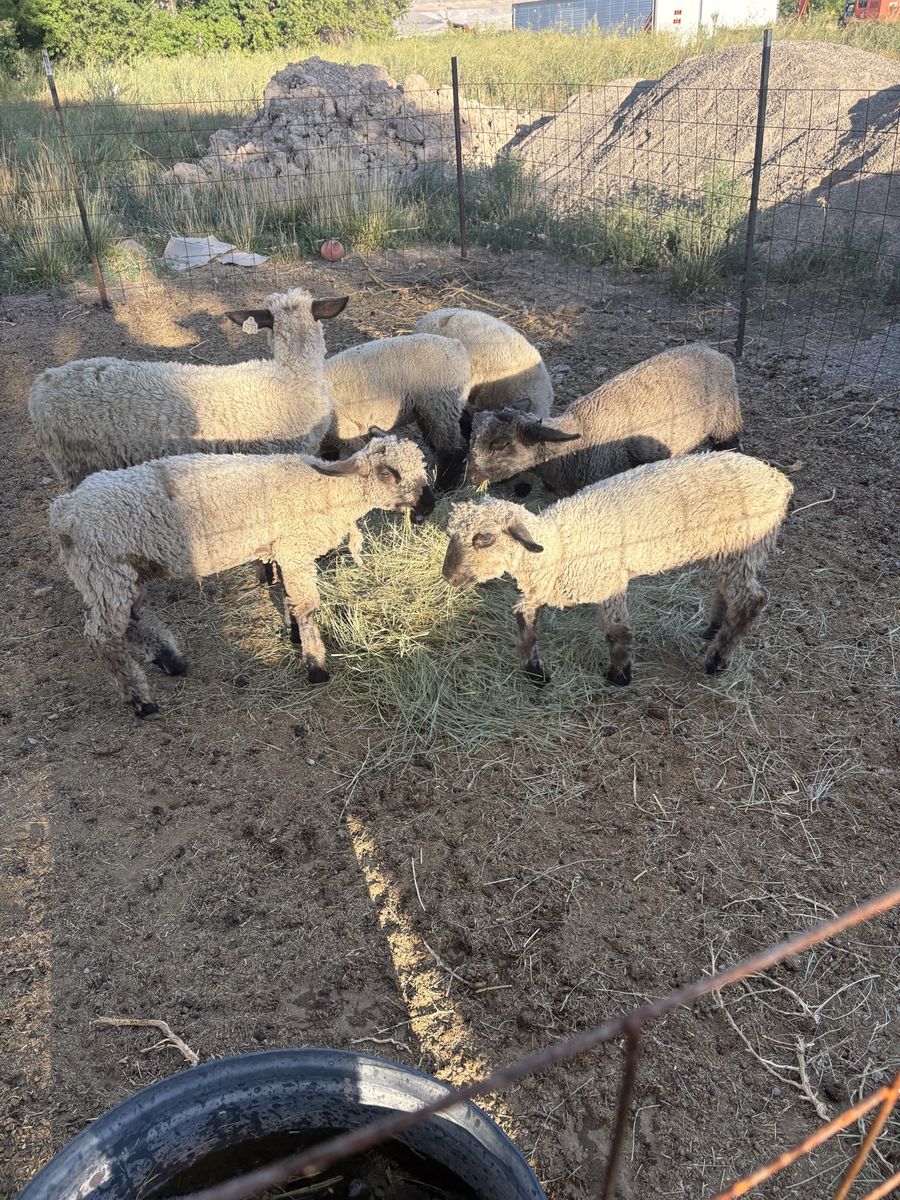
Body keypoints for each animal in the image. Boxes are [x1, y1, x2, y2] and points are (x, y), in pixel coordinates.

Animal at [50, 436, 435, 718]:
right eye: (388, 473)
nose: (429, 505)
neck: (324, 492)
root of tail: (64, 512)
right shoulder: (296, 549)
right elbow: (308, 607)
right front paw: (316, 665)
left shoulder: (282, 549)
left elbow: (289, 598)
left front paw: (294, 636)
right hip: (103, 569)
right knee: (102, 636)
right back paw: (140, 701)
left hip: (124, 570)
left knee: (131, 619)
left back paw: (170, 660)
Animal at [322, 333, 472, 488]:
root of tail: (456, 345)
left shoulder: (344, 430)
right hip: (436, 409)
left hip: (440, 406)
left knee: (452, 450)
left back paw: (443, 487)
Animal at [442, 451, 792, 686]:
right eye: (450, 534)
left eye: (484, 538)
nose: (449, 576)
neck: (560, 543)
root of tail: (779, 482)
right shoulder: (546, 584)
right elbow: (524, 620)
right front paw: (535, 671)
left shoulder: (610, 580)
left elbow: (617, 632)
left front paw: (619, 675)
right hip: (727, 550)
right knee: (729, 593)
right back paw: (712, 630)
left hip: (742, 545)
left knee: (751, 600)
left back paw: (717, 659)